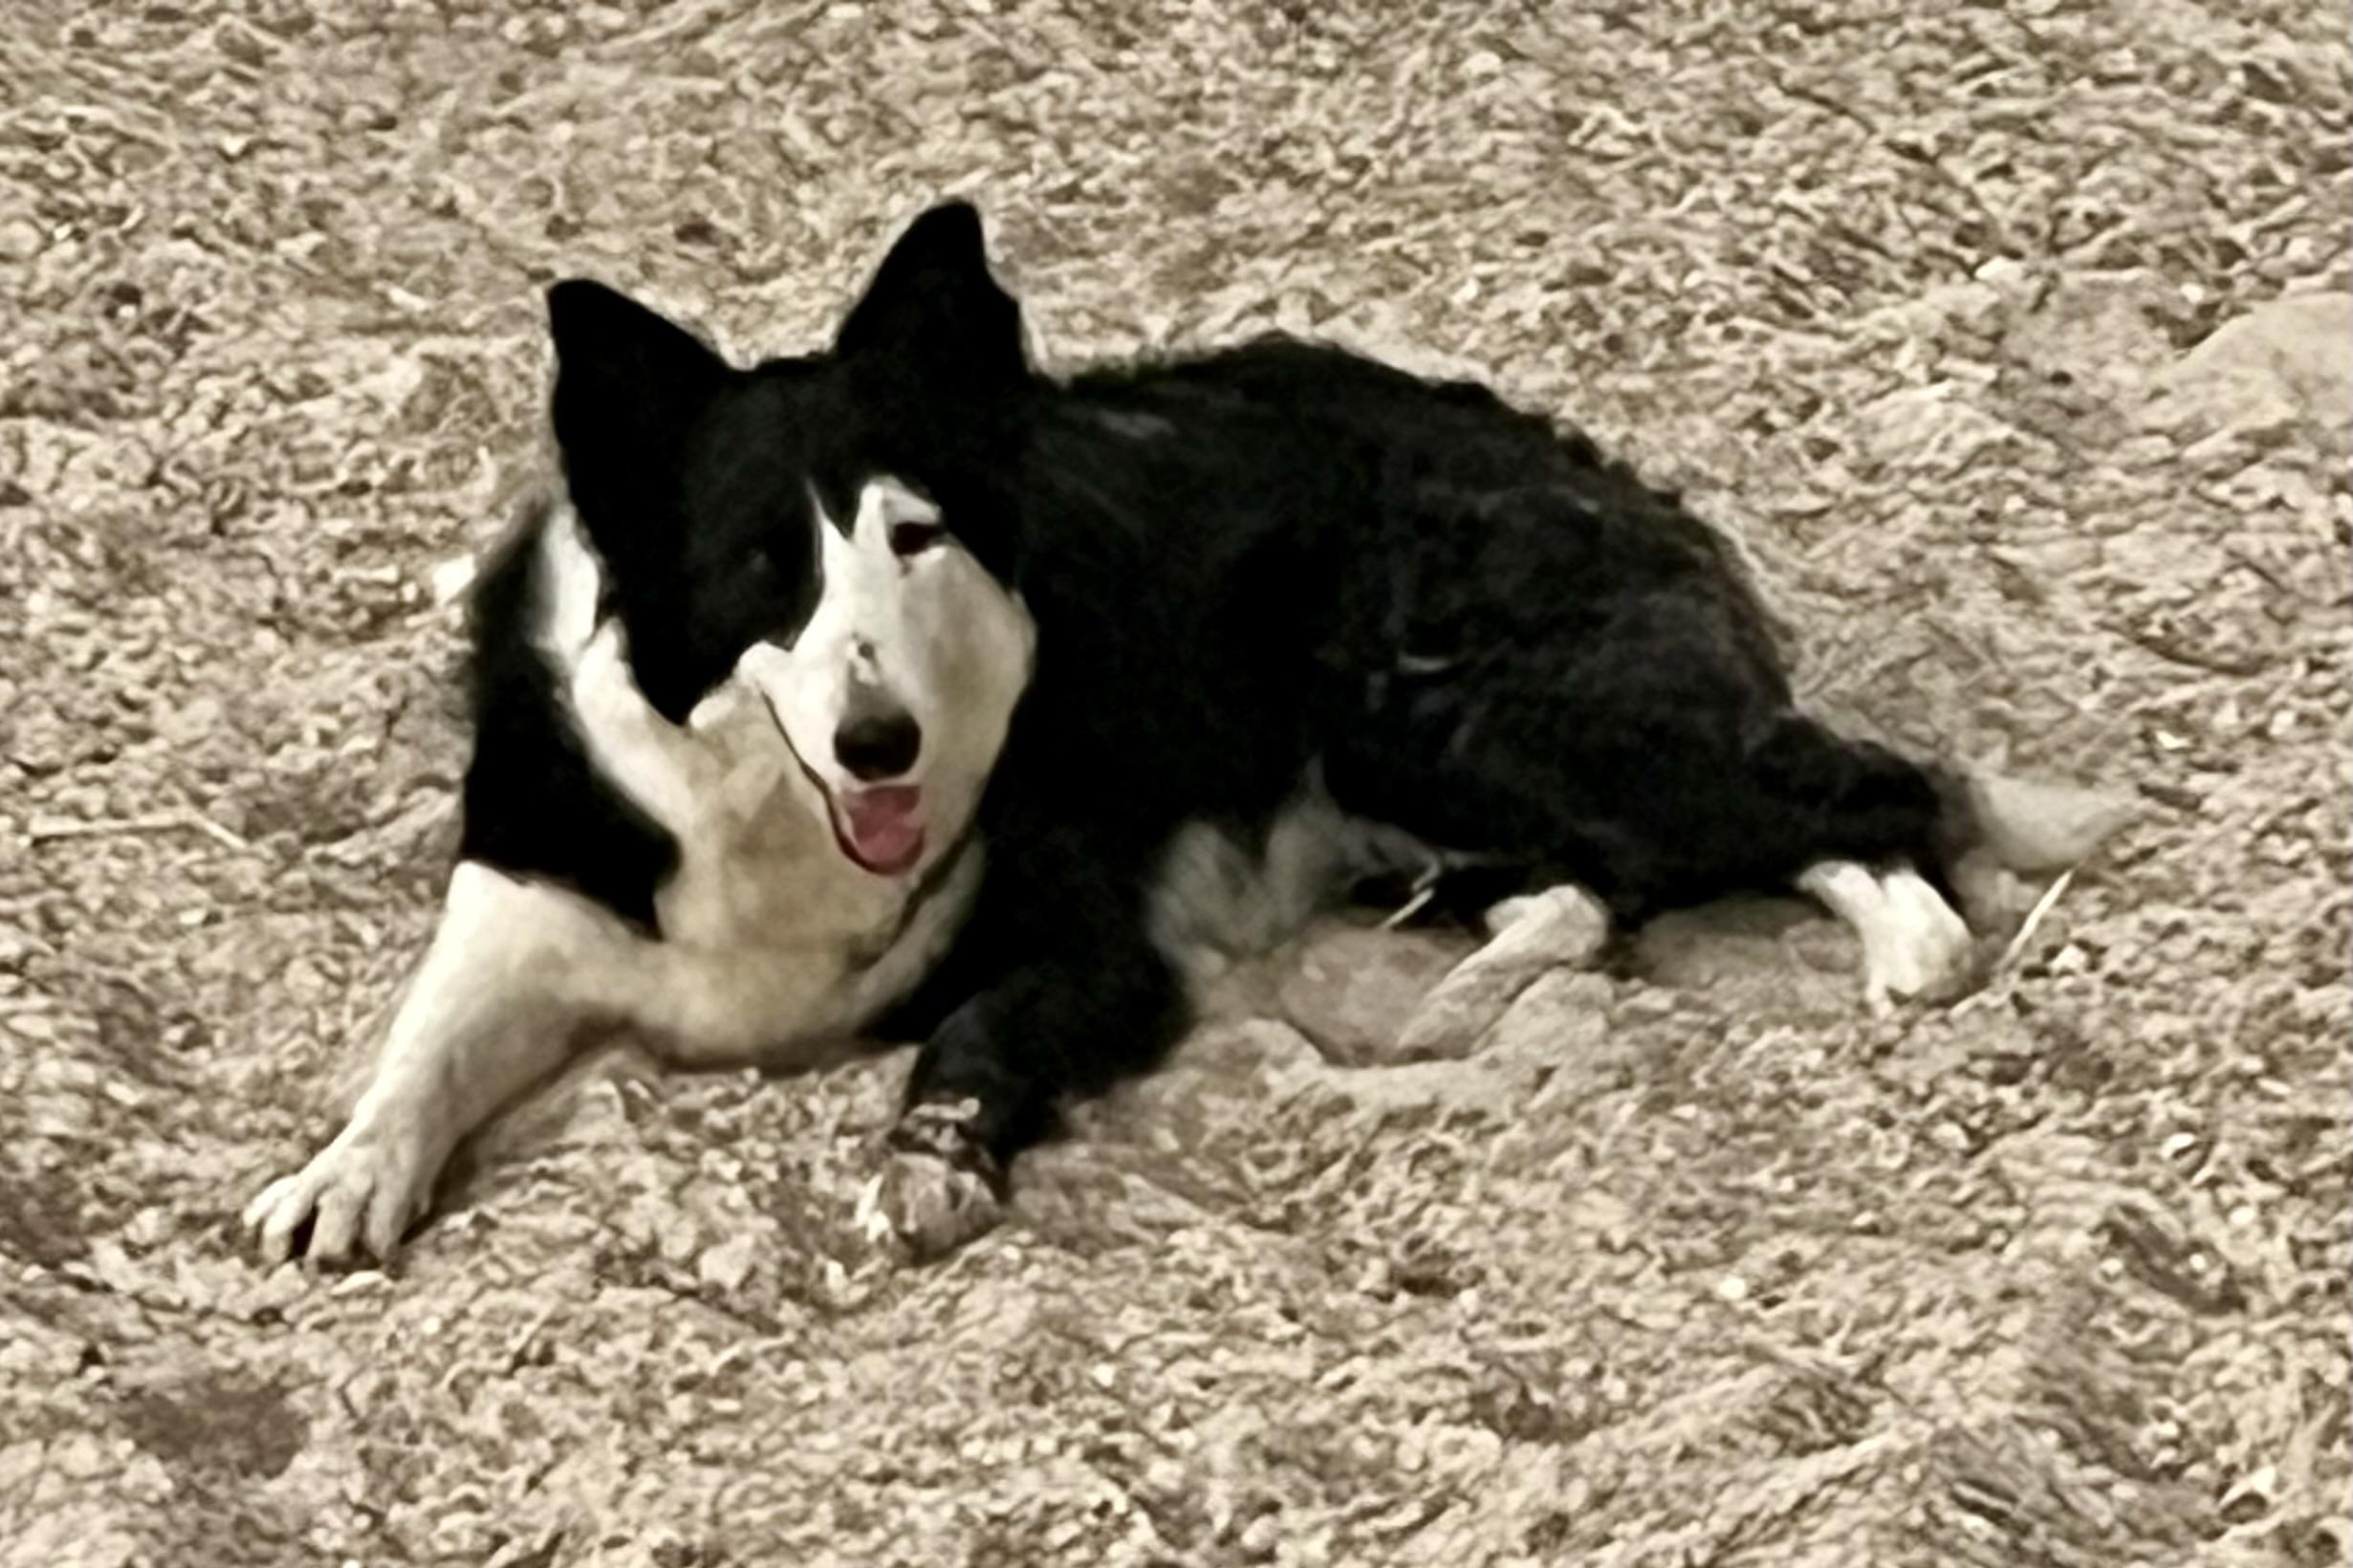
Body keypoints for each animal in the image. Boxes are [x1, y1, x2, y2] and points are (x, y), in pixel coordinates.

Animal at [250, 202, 2120, 1266]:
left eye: (912, 536)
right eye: (760, 570)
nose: (880, 746)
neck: (773, 819)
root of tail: (1572, 461)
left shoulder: (1084, 949)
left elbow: (963, 1042)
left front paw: (923, 1175)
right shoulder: (527, 890)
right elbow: (423, 1046)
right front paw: (345, 1171)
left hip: (1455, 714)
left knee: (1854, 792)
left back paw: (1909, 950)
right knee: (1606, 884)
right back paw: (1464, 993)